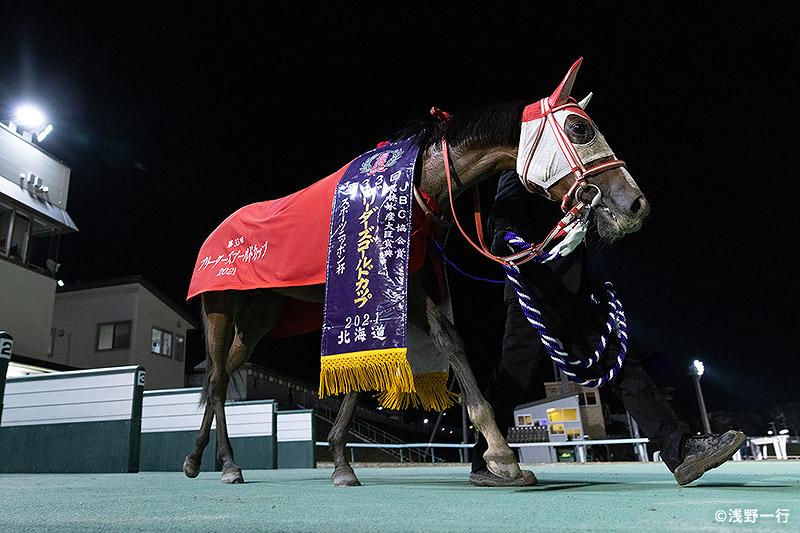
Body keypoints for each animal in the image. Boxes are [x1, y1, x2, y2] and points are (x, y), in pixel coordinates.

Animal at [183, 59, 648, 486]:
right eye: (580, 128)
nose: (636, 204)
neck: (414, 184)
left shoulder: (393, 286)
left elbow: (365, 370)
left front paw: (340, 460)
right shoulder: (392, 280)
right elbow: (449, 340)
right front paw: (501, 453)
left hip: (260, 316)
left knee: (222, 376)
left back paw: (196, 456)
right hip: (220, 307)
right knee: (219, 380)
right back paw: (227, 464)